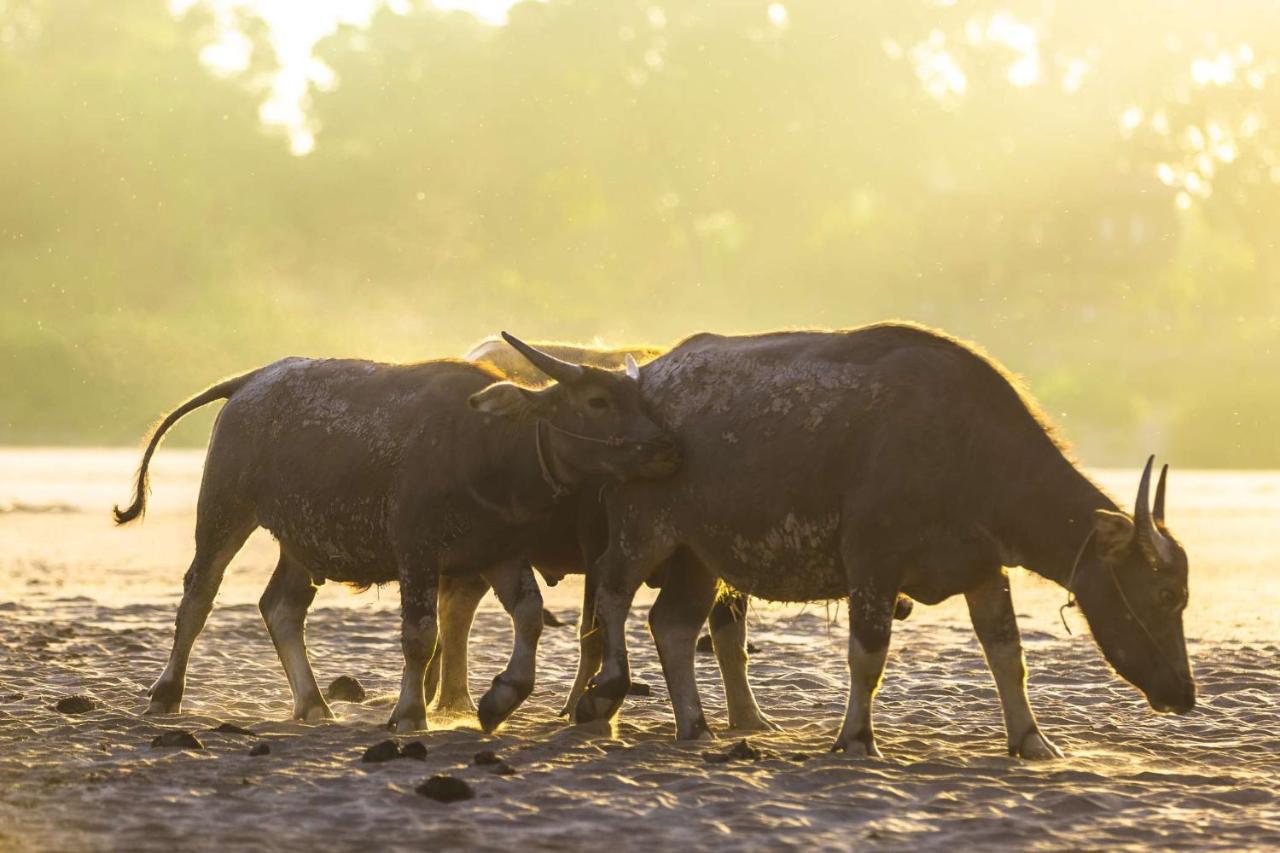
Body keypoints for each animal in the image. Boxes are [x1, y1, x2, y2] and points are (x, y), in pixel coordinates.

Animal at [117, 333, 680, 732]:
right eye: (597, 401)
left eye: (639, 399)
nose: (664, 445)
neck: (487, 447)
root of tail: (249, 381)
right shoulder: (416, 552)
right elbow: (420, 636)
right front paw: (410, 713)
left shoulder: (499, 553)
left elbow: (529, 617)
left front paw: (502, 697)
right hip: (224, 510)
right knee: (198, 596)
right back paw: (166, 694)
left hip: (301, 540)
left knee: (281, 608)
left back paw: (313, 703)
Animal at [576, 322, 1192, 753]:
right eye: (1166, 595)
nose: (1184, 694)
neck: (969, 449)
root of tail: (646, 379)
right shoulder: (872, 563)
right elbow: (867, 656)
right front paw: (855, 738)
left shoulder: (982, 569)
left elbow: (1007, 656)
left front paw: (1032, 740)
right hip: (642, 531)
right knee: (611, 592)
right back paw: (604, 692)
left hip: (698, 556)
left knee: (673, 625)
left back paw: (696, 724)